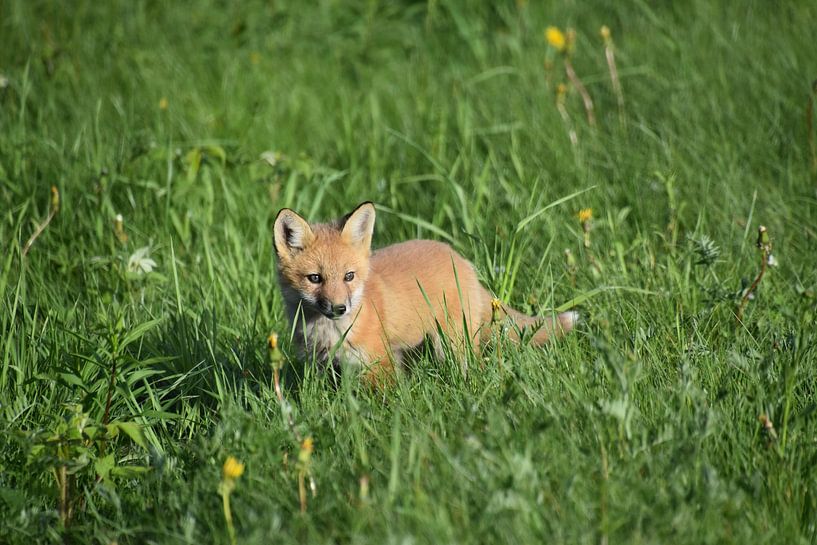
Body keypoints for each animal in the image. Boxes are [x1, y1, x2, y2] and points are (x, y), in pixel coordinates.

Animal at [273, 202, 578, 385]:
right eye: (315, 278)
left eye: (349, 276)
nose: (339, 308)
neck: (328, 333)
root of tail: (461, 259)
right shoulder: (321, 367)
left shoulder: (380, 363)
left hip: (454, 345)